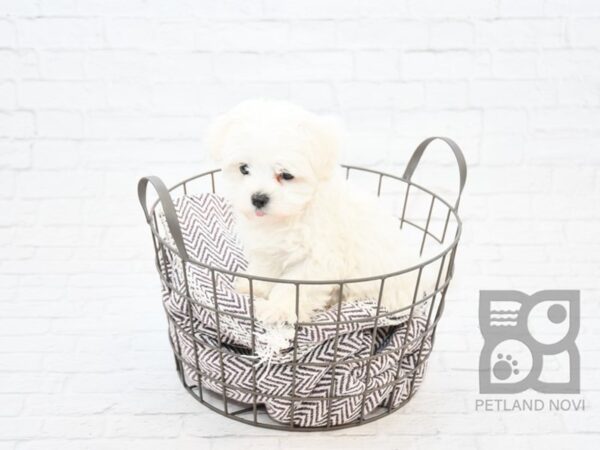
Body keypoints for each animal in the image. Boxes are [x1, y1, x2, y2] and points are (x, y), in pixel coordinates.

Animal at [206, 99, 426, 324]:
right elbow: (264, 269)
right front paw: (254, 288)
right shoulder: (269, 249)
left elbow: (292, 288)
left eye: (286, 175)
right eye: (244, 169)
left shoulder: (317, 259)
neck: (292, 214)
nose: (258, 198)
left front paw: (278, 309)